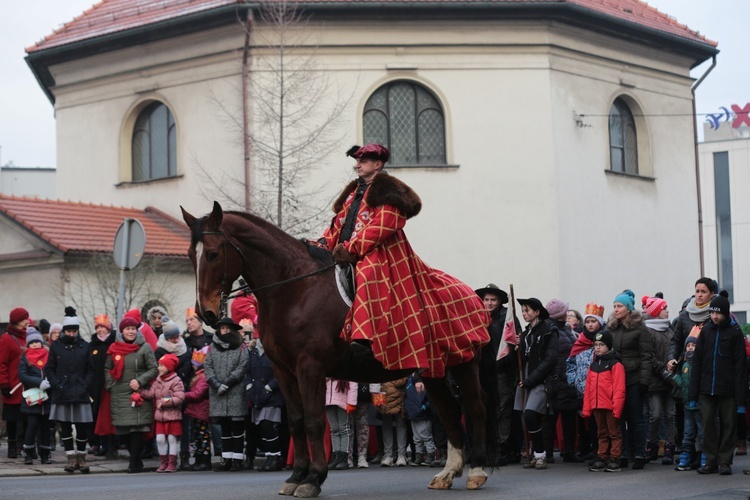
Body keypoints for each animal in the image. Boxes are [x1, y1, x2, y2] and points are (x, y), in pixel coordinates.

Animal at [180, 202, 490, 496]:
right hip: (433, 370)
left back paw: (476, 471)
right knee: (450, 412)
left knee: (475, 410)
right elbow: (296, 421)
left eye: (212, 254)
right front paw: (296, 476)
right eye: (190, 255)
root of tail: (472, 294)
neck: (294, 289)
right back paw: (447, 474)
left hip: (464, 365)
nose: (206, 313)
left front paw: (313, 478)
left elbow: (314, 422)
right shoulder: (283, 369)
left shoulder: (311, 366)